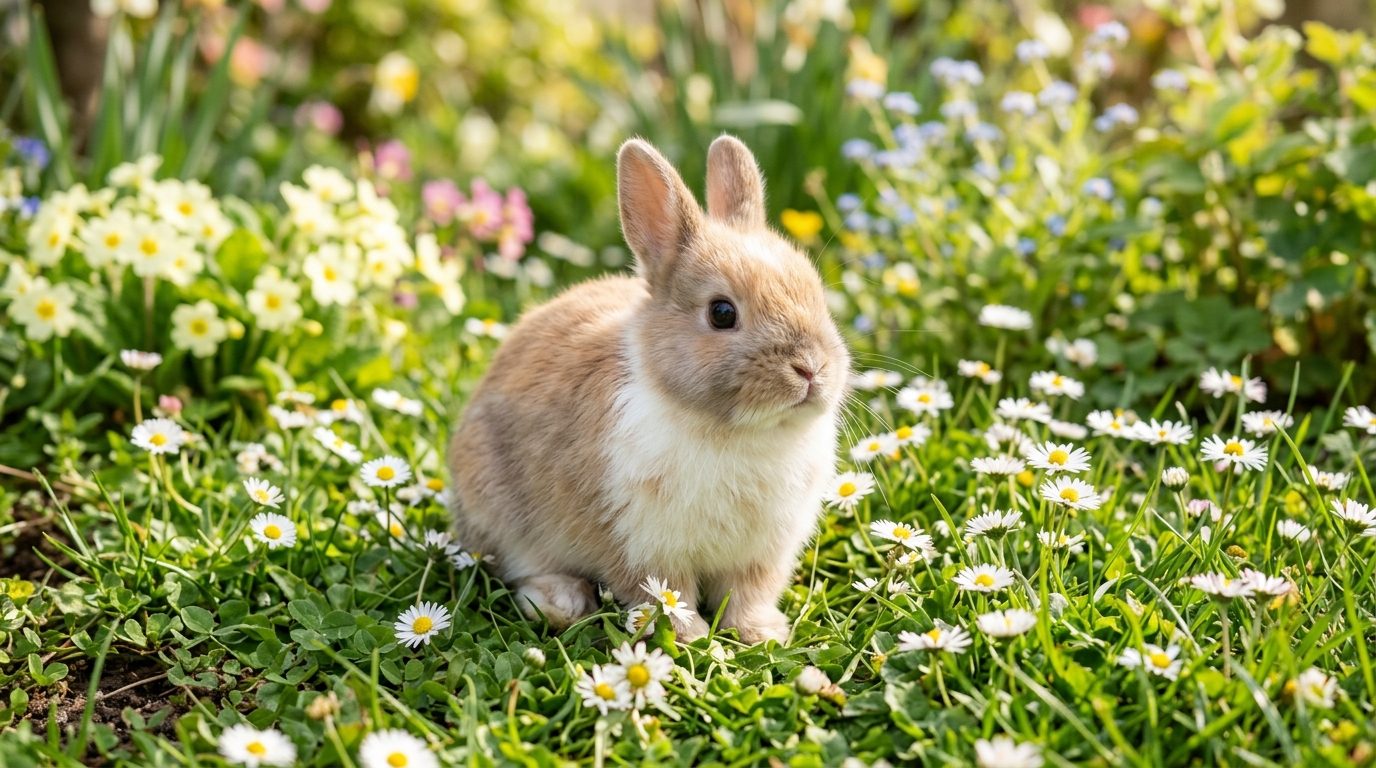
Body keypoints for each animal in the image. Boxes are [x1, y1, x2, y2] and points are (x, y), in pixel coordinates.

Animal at [447, 135, 849, 644]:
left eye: (815, 294)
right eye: (722, 313)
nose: (811, 368)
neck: (741, 431)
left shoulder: (761, 556)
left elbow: (748, 595)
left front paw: (762, 634)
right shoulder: (640, 546)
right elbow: (665, 595)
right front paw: (691, 638)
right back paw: (562, 603)